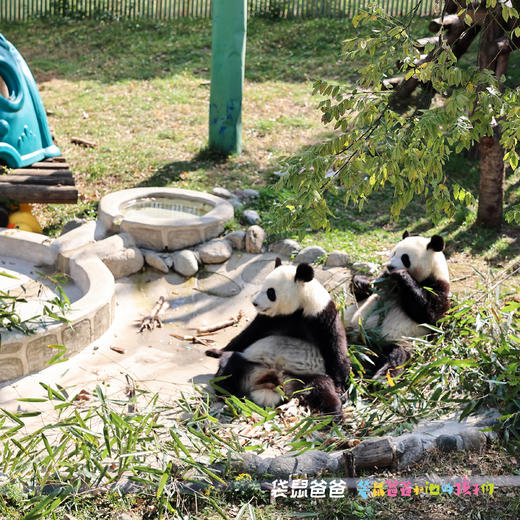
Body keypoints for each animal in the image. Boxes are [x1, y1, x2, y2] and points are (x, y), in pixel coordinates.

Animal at [205, 258, 352, 420]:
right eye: (262, 287)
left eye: (270, 292)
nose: (255, 303)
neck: (299, 308)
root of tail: (272, 381)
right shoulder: (271, 319)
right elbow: (247, 336)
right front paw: (215, 351)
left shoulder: (321, 315)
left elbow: (335, 348)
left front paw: (341, 389)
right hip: (252, 365)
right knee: (229, 366)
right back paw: (230, 395)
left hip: (303, 377)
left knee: (322, 388)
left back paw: (333, 413)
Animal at [344, 232, 448, 378]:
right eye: (394, 253)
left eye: (405, 258)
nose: (390, 266)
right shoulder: (382, 279)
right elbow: (362, 295)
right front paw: (362, 282)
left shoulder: (438, 288)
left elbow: (430, 317)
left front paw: (401, 275)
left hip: (397, 341)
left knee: (395, 357)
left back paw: (380, 378)